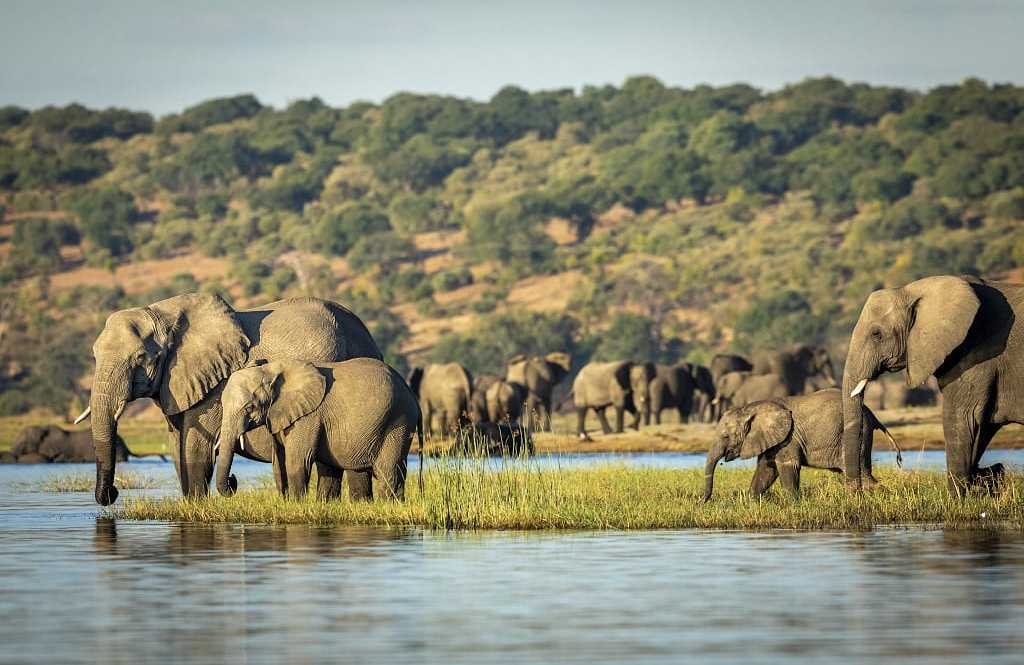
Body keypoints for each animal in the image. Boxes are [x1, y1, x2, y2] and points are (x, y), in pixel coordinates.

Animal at [79, 292, 381, 505]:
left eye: (141, 358)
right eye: (93, 354)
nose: (113, 493)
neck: (163, 314)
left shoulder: (216, 383)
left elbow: (194, 445)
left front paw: (197, 508)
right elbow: (177, 444)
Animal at [215, 359, 419, 501]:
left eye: (249, 408)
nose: (233, 480)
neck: (273, 369)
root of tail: (410, 392)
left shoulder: (308, 417)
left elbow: (297, 460)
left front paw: (296, 504)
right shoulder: (278, 415)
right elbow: (279, 462)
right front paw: (287, 502)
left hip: (398, 422)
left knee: (388, 470)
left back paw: (390, 504)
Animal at [703, 389, 902, 501]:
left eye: (726, 436)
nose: (704, 501)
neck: (751, 408)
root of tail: (871, 413)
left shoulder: (789, 438)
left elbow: (787, 467)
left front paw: (794, 503)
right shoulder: (773, 439)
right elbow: (766, 469)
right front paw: (752, 501)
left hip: (858, 435)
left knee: (860, 473)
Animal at [842, 275, 1023, 495]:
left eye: (876, 334)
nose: (858, 491)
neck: (914, 289)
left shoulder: (976, 355)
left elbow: (964, 418)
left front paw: (958, 499)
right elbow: (983, 426)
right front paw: (986, 478)